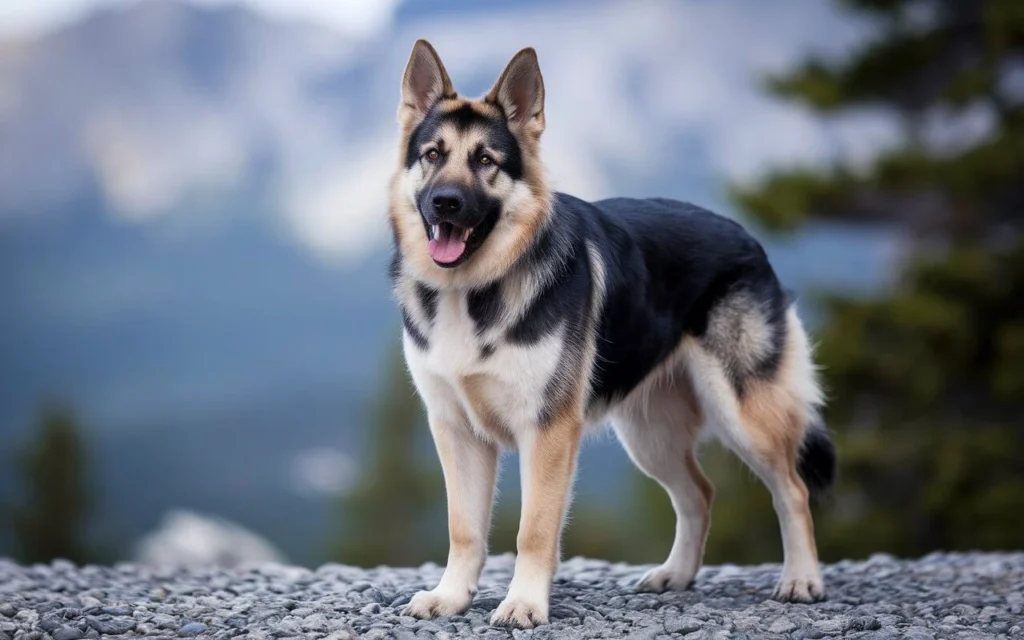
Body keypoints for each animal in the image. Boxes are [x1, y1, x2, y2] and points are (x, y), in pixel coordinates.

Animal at [387, 41, 835, 630]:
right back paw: (676, 575)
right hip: (650, 436)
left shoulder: (548, 432)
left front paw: (524, 603)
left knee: (793, 489)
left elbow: (534, 529)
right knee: (699, 493)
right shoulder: (456, 433)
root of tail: (749, 237)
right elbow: (463, 529)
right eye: (433, 155)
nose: (444, 202)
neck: (475, 288)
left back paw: (802, 579)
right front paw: (451, 596)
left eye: (485, 161)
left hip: (744, 415)